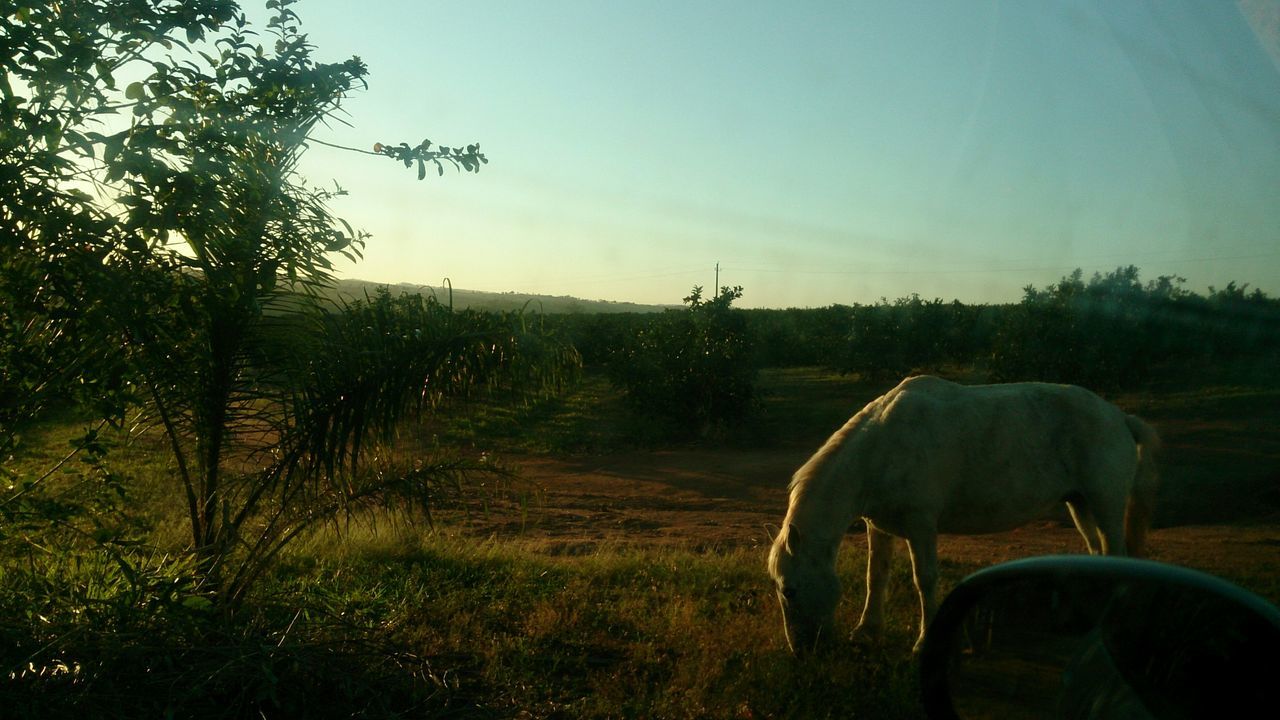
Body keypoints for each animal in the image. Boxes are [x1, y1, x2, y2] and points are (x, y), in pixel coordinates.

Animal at [762, 376, 1167, 650]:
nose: (803, 651)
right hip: (1080, 504)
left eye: (790, 590)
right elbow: (875, 575)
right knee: (1098, 553)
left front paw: (923, 642)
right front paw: (866, 631)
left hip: (1105, 505)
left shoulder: (921, 524)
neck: (881, 449)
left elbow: (924, 579)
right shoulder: (880, 526)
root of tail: (1119, 417)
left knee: (1115, 553)